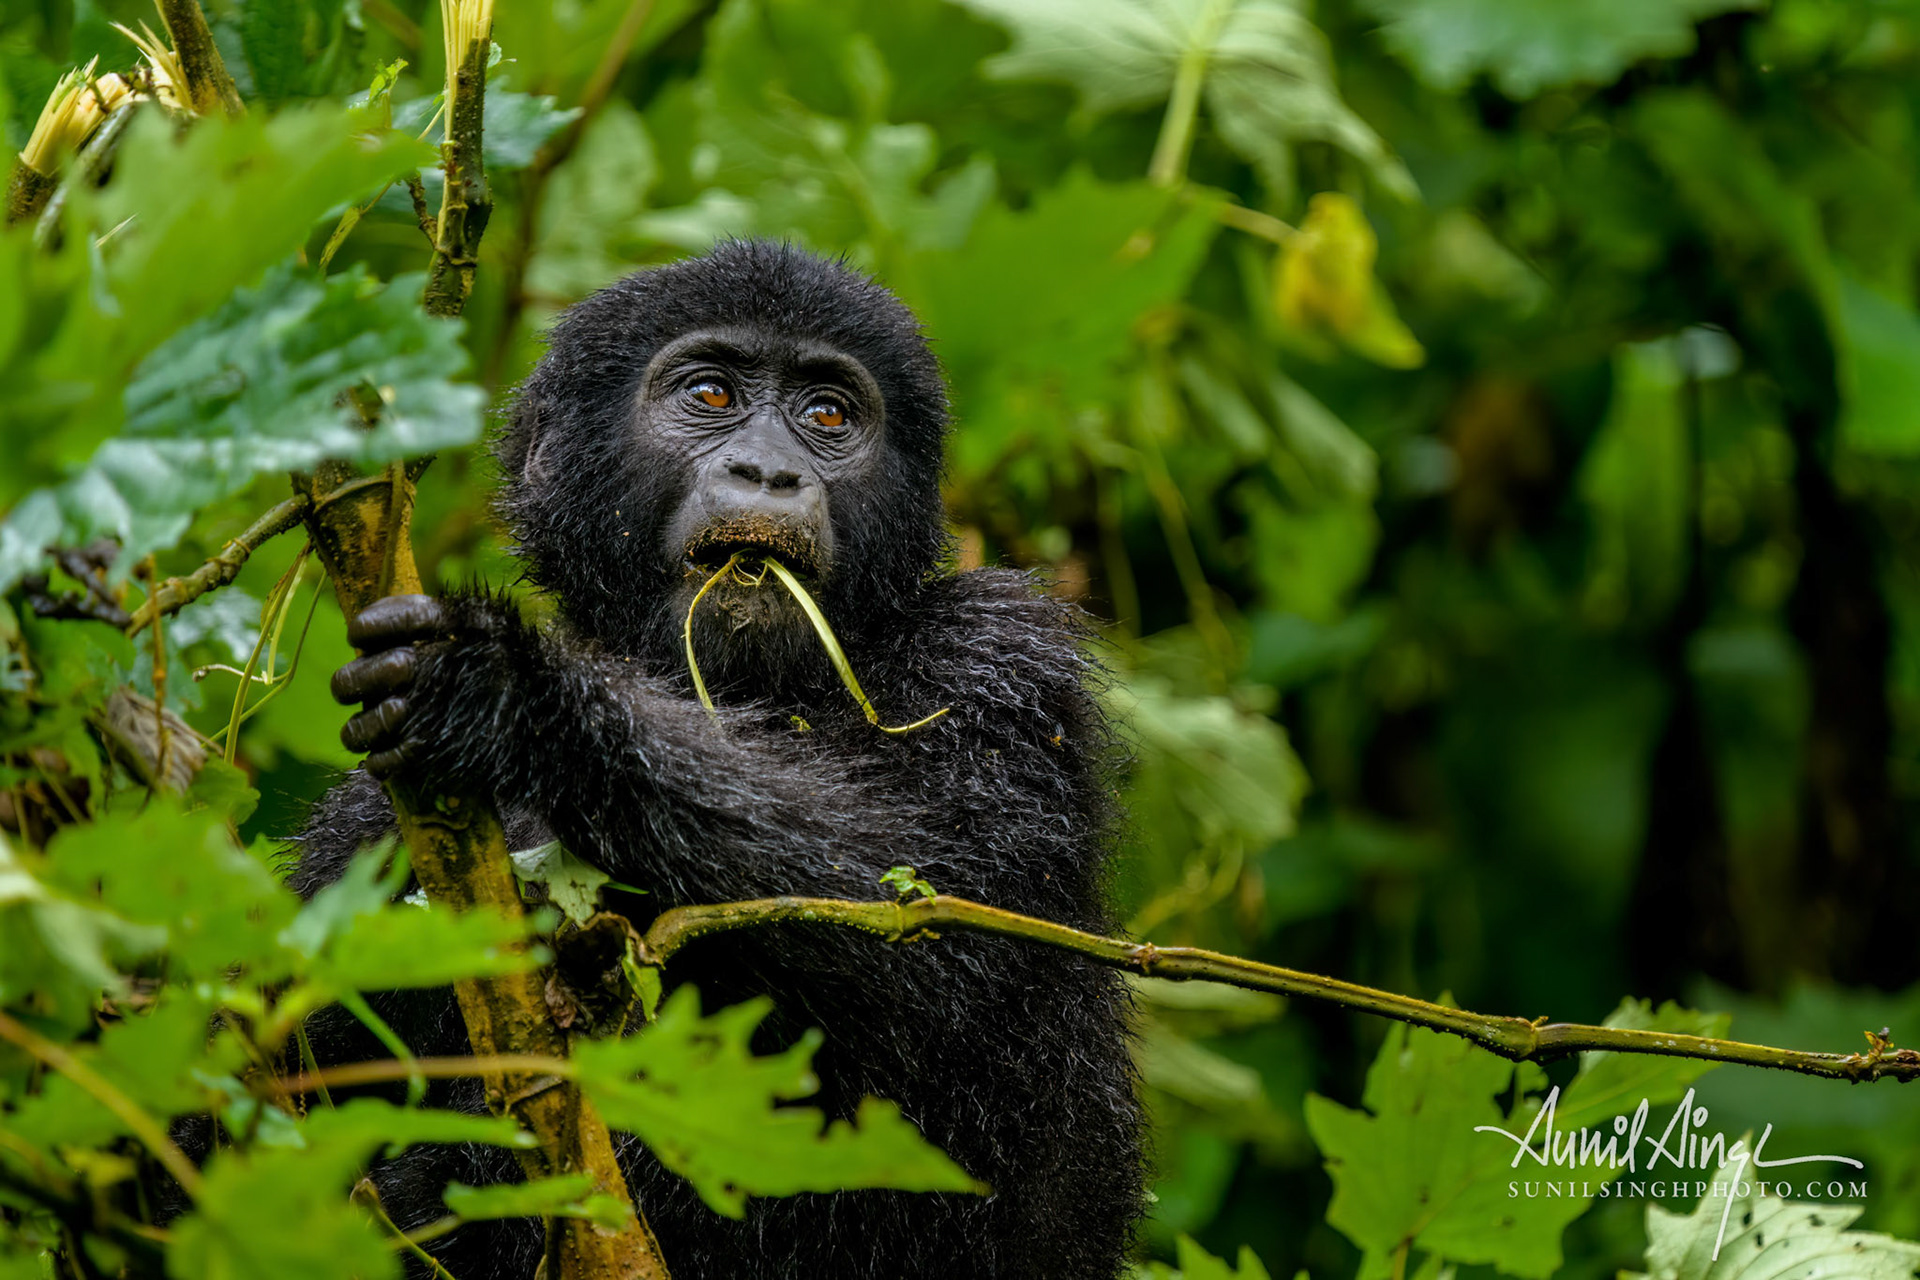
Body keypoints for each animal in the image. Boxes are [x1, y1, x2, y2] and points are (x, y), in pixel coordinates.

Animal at [296, 239, 1146, 1278]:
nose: (769, 471)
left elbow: (942, 915)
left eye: (828, 416)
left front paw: (519, 703)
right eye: (710, 394)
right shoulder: (358, 838)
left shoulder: (1007, 661)